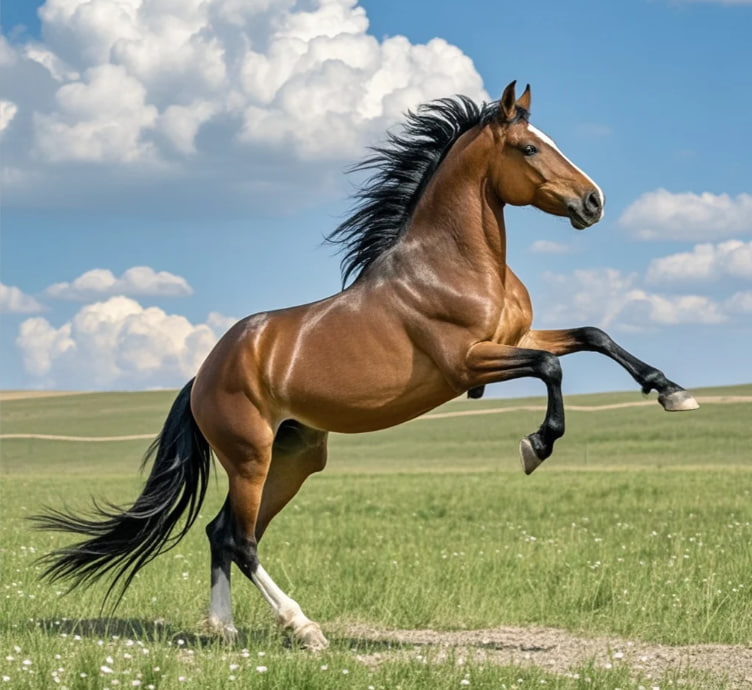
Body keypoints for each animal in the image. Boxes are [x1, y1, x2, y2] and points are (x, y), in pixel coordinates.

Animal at [34, 81, 699, 651]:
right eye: (530, 146)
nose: (594, 201)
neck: (453, 264)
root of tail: (203, 374)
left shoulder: (515, 338)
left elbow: (593, 335)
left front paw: (672, 392)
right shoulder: (469, 365)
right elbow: (550, 370)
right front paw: (536, 446)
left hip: (294, 459)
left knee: (221, 532)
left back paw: (225, 630)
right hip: (250, 457)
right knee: (241, 541)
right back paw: (304, 629)